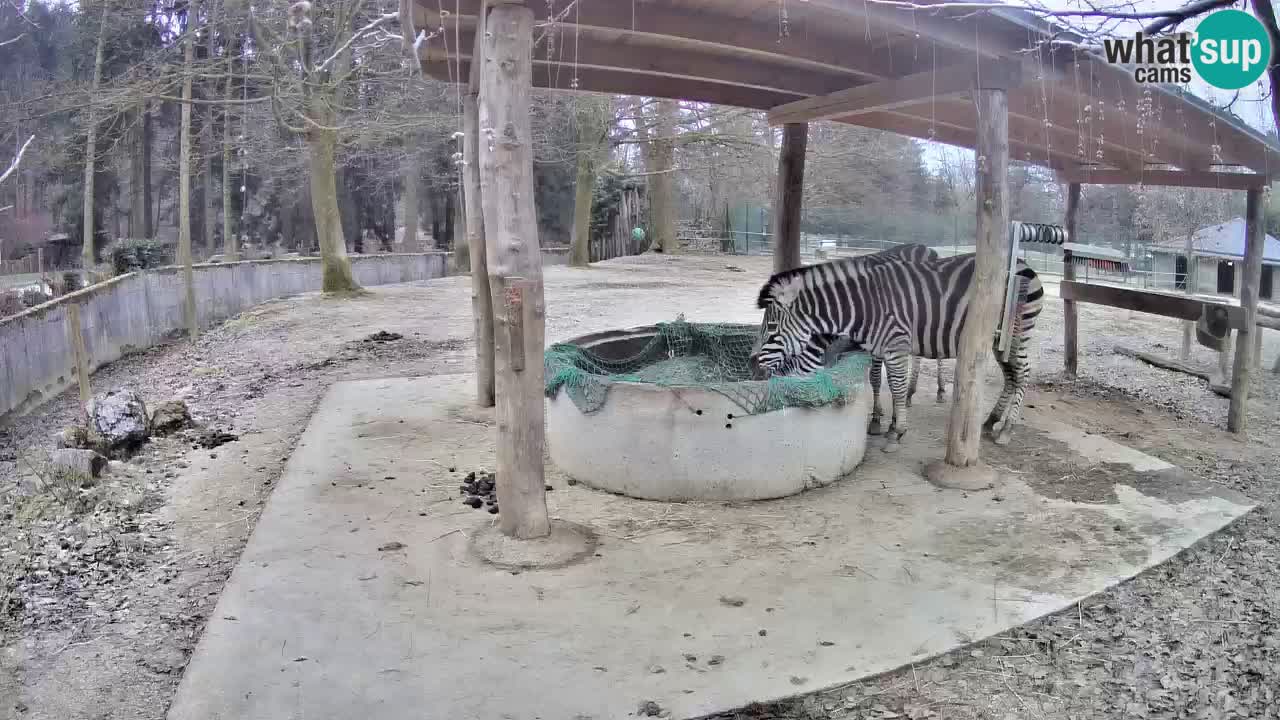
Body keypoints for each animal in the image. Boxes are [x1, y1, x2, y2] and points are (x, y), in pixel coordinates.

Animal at [752, 251, 1044, 448]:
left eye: (772, 327)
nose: (753, 366)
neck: (860, 308)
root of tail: (1025, 263)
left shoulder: (895, 343)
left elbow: (896, 385)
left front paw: (897, 431)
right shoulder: (880, 346)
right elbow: (887, 384)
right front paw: (890, 423)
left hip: (1018, 335)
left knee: (1023, 374)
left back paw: (1006, 430)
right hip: (997, 341)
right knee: (1011, 376)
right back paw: (990, 422)